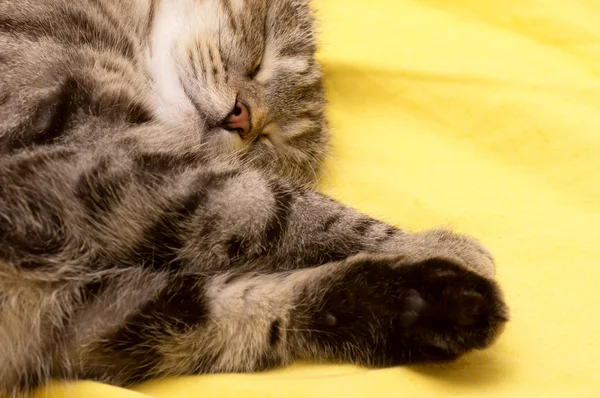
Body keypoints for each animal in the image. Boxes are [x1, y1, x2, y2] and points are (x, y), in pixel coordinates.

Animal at [0, 0, 508, 394]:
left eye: (271, 139)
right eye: (260, 56)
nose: (243, 118)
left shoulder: (78, 317)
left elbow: (245, 314)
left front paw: (428, 297)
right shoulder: (87, 152)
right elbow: (287, 212)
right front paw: (442, 246)